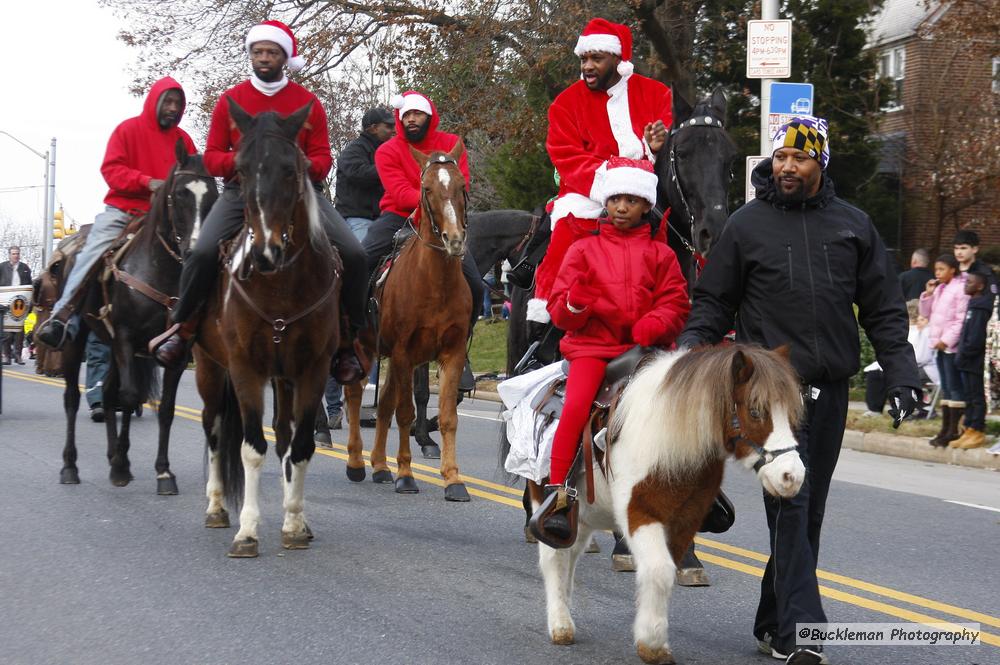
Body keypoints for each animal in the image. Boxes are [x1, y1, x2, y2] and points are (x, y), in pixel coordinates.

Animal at [57, 141, 218, 492]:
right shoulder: (127, 339)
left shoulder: (174, 352)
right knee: (72, 398)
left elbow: (166, 409)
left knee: (106, 393)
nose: (194, 251)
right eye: (180, 194)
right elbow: (130, 398)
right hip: (77, 341)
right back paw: (70, 466)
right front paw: (120, 464)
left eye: (213, 196)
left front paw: (163, 472)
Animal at [195, 98, 344, 556]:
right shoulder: (245, 368)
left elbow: (300, 447)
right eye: (241, 170)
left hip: (283, 377)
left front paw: (294, 524)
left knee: (282, 436)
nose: (264, 252)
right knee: (213, 428)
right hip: (209, 368)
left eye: (291, 170)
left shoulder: (312, 369)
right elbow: (251, 449)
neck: (280, 283)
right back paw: (215, 507)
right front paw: (247, 531)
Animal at [340, 141, 472, 504]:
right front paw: (406, 474)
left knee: (382, 404)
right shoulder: (402, 352)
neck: (435, 281)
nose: (454, 238)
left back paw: (379, 466)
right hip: (363, 348)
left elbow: (447, 417)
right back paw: (356, 462)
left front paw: (453, 479)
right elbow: (404, 414)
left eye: (461, 186)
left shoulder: (450, 353)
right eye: (426, 189)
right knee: (354, 395)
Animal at [540, 344, 804, 660]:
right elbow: (658, 570)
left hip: (585, 514)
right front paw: (652, 643)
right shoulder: (640, 513)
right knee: (554, 556)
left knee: (571, 553)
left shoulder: (683, 522)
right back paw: (560, 623)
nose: (792, 476)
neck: (667, 438)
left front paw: (653, 639)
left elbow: (666, 571)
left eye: (791, 414)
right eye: (755, 411)